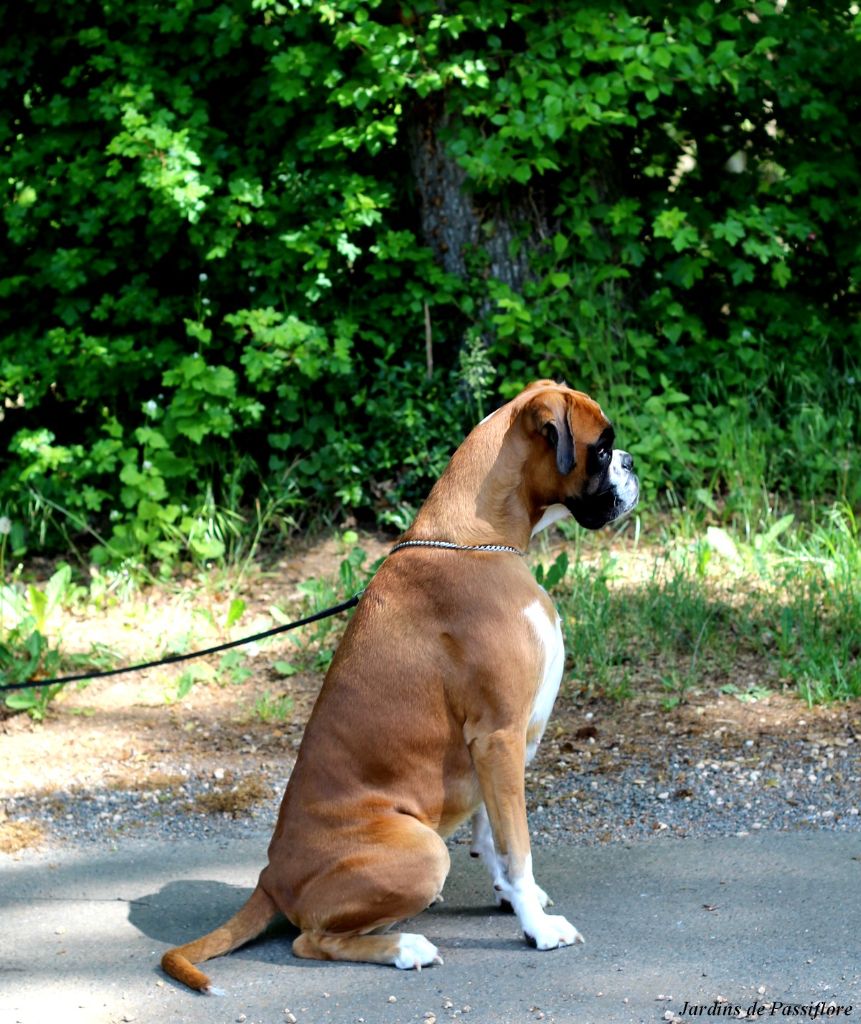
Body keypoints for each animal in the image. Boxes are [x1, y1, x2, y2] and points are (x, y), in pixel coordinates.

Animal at [161, 380, 634, 987]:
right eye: (602, 449)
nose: (630, 462)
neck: (477, 538)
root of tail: (269, 879)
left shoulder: (493, 750)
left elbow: (493, 833)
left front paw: (511, 898)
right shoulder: (499, 735)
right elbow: (518, 843)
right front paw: (537, 927)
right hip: (425, 850)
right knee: (310, 941)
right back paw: (405, 946)